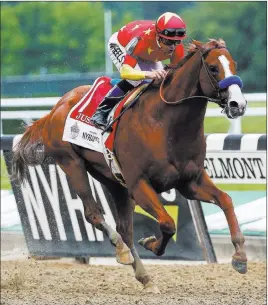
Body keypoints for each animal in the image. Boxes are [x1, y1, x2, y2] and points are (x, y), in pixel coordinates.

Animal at [12, 39, 247, 290]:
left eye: (234, 64)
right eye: (213, 68)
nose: (238, 104)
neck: (166, 124)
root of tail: (56, 108)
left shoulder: (190, 181)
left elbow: (226, 200)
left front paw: (240, 257)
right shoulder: (139, 184)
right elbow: (167, 223)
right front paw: (151, 243)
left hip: (113, 179)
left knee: (124, 229)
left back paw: (144, 276)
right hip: (71, 164)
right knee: (94, 215)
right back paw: (122, 250)